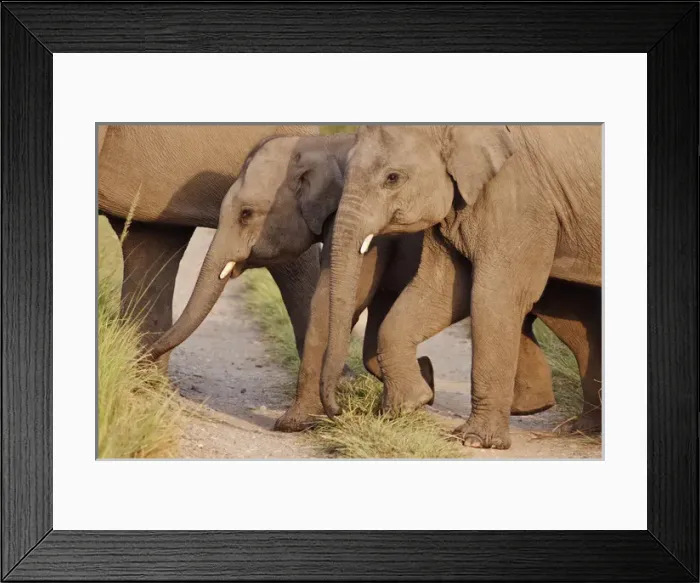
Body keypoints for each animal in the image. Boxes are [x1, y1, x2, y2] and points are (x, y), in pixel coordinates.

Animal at [321, 125, 602, 449]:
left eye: (392, 178)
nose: (339, 411)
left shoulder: (518, 198)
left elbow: (492, 296)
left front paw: (476, 441)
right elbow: (441, 290)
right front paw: (406, 405)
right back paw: (582, 429)